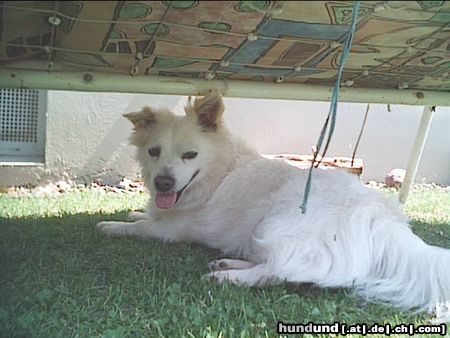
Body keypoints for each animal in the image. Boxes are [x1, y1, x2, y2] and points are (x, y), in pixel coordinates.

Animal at [96, 91, 448, 320]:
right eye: (153, 152)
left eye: (190, 155)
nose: (163, 183)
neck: (218, 171)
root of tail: (384, 218)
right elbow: (146, 215)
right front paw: (134, 211)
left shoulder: (174, 230)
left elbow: (142, 227)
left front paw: (113, 226)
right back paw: (228, 263)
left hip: (276, 223)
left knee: (282, 271)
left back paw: (229, 277)